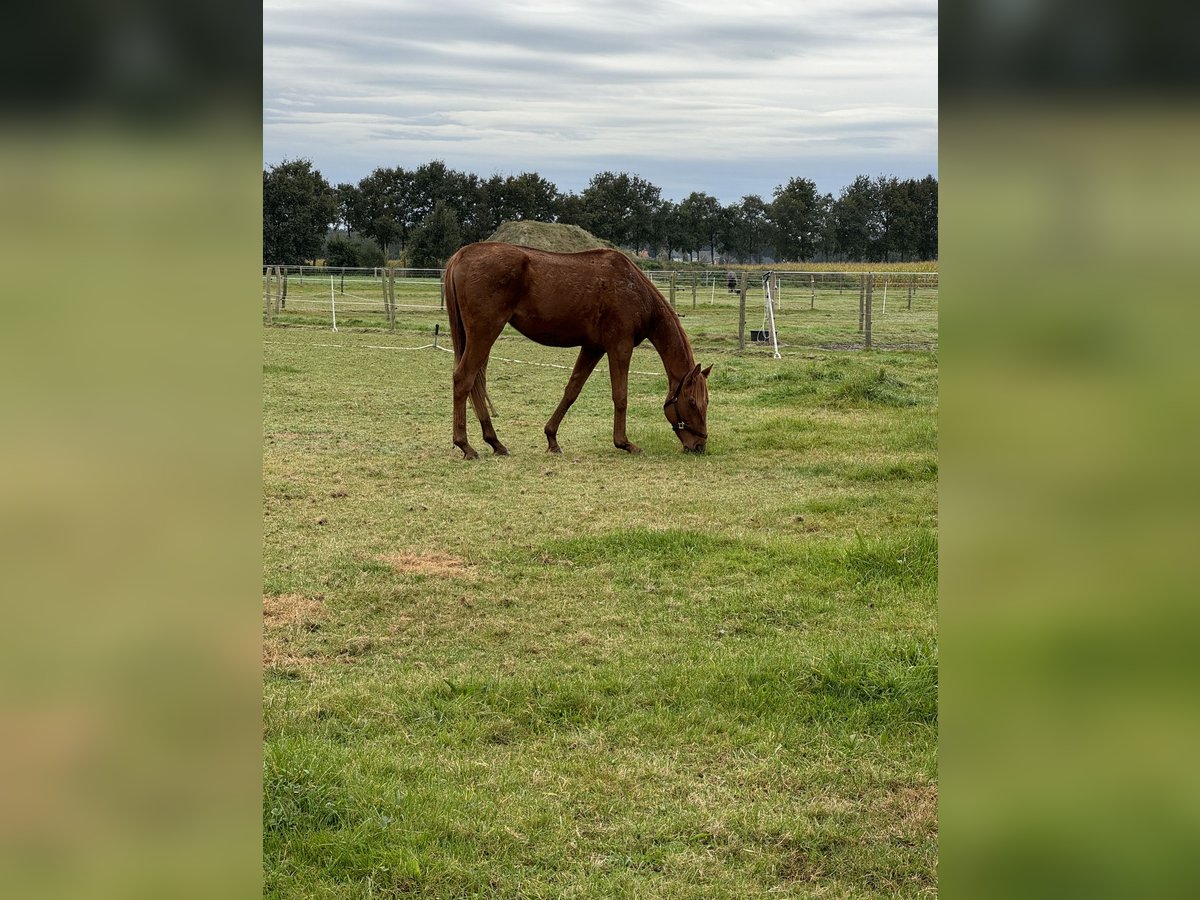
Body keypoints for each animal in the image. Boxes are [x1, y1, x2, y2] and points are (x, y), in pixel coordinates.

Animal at [448, 243, 710, 460]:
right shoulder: (620, 347)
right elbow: (620, 396)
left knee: (477, 384)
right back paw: (465, 445)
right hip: (484, 333)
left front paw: (552, 438)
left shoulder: (593, 348)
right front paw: (624, 443)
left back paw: (495, 442)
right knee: (464, 380)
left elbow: (572, 390)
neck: (634, 291)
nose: (699, 446)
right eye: (692, 402)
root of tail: (462, 255)